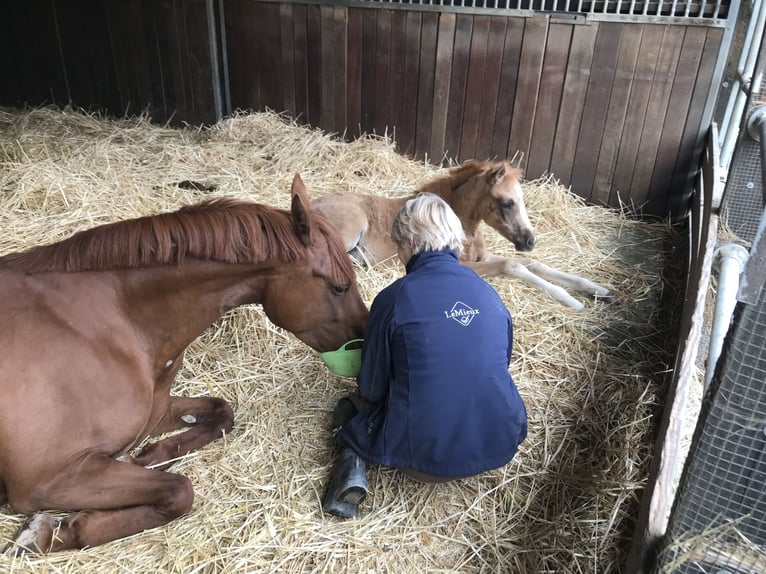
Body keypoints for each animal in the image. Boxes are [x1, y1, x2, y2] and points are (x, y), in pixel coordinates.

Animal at [0, 177, 368, 560]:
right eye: (340, 286)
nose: (366, 341)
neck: (113, 320)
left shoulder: (155, 414)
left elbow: (222, 413)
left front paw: (147, 456)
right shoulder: (46, 481)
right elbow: (180, 491)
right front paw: (45, 534)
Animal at [316, 160, 616, 312]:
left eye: (522, 200)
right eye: (507, 203)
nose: (530, 241)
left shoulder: (481, 256)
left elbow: (535, 264)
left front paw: (598, 290)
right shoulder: (464, 264)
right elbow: (513, 265)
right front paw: (572, 301)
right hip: (350, 227)